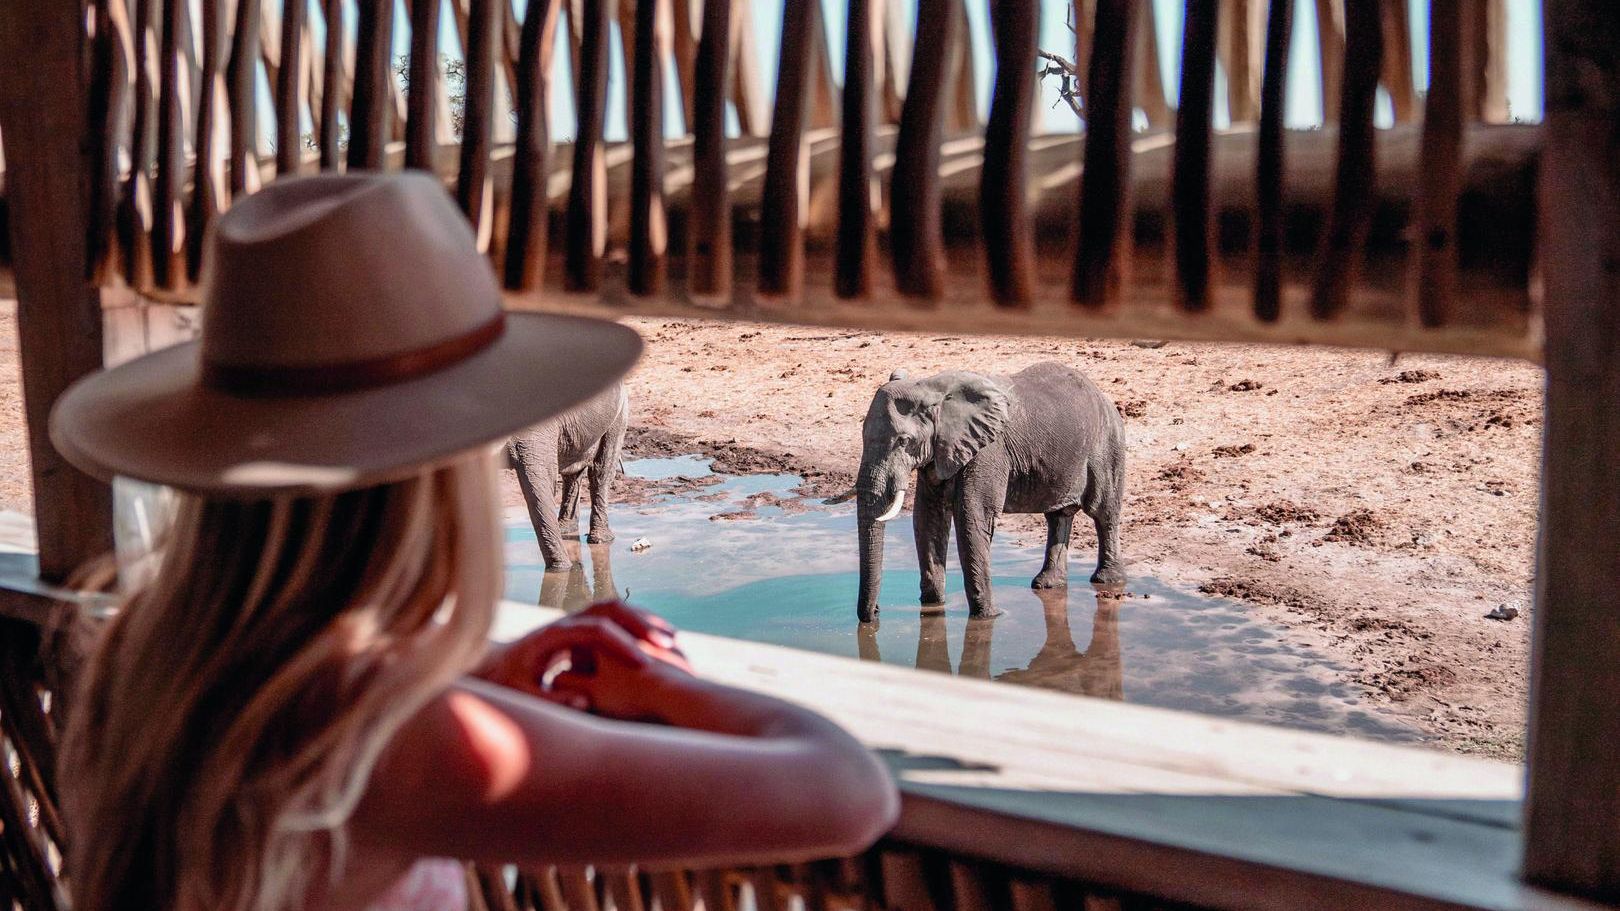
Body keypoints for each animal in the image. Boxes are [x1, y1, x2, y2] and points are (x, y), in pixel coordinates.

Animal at [509, 383, 629, 571]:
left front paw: (561, 571)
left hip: (619, 411)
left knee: (601, 470)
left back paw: (600, 540)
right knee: (573, 472)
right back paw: (565, 531)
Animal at [854, 362, 1125, 621]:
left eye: (903, 441)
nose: (876, 612)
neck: (931, 387)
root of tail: (1103, 395)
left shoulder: (988, 450)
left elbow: (972, 518)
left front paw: (989, 617)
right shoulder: (938, 453)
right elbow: (927, 519)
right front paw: (932, 607)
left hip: (1107, 443)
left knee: (1103, 512)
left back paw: (1107, 580)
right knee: (1058, 515)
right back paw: (1047, 584)